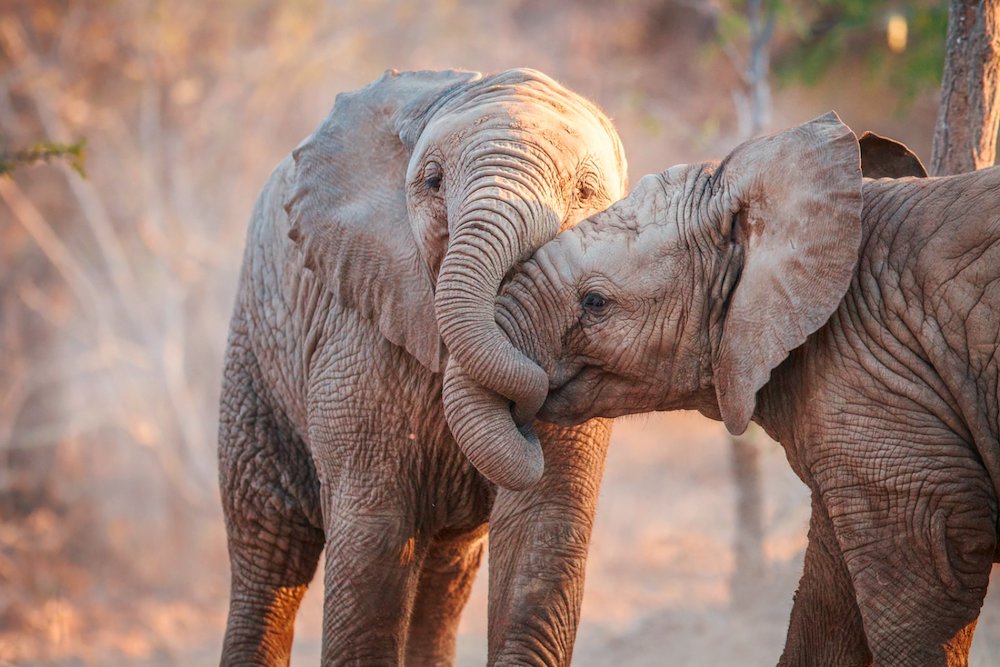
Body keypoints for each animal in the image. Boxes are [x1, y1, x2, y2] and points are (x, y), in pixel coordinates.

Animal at [218, 65, 624, 664]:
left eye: (585, 192)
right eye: (432, 182)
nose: (526, 408)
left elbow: (542, 524)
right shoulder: (357, 328)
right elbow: (375, 535)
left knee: (444, 575)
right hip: (255, 350)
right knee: (268, 548)